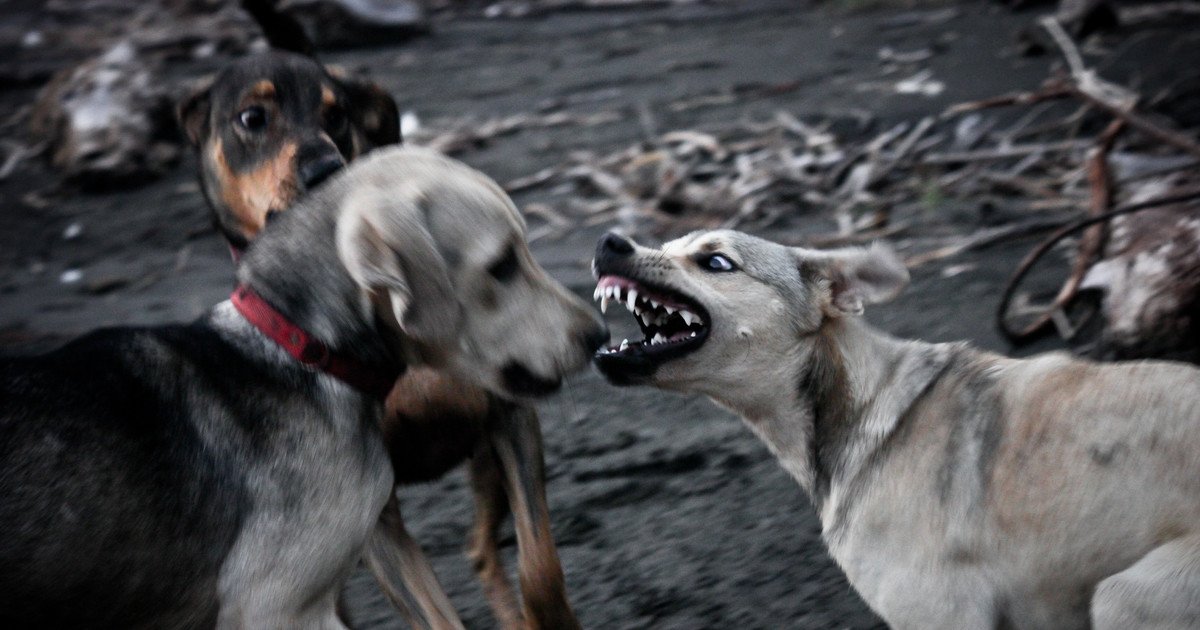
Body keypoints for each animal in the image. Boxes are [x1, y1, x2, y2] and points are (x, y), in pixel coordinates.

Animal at [177, 3, 585, 624]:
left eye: (337, 114)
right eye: (253, 118)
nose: (326, 167)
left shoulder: (510, 414)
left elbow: (539, 567)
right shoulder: (370, 517)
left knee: (482, 546)